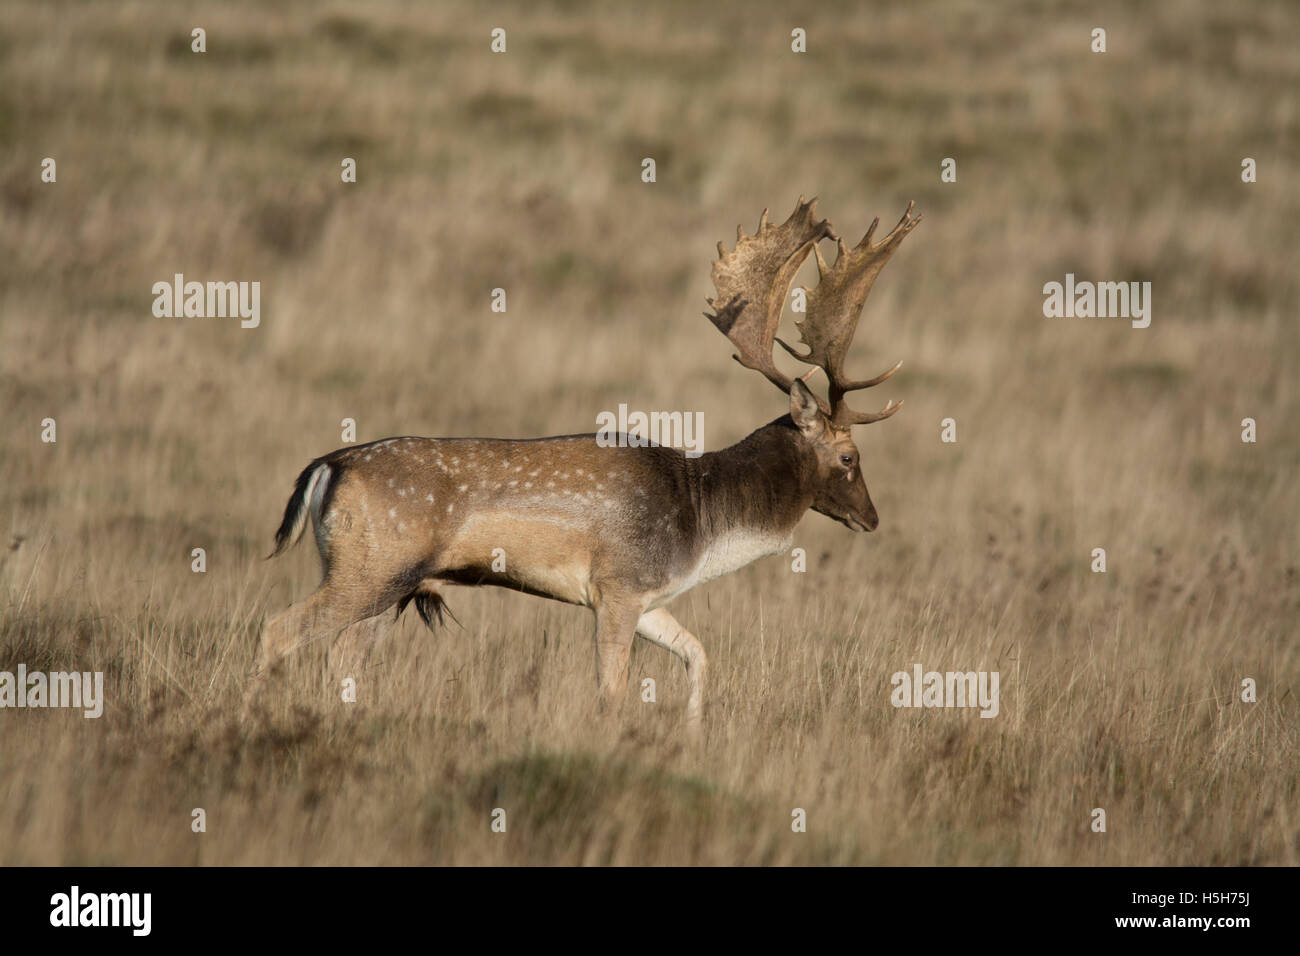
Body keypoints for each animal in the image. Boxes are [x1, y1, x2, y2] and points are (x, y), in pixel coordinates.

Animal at [250, 196, 925, 733]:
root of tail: (327, 466)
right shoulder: (617, 586)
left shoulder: (649, 596)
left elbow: (699, 654)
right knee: (279, 630)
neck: (702, 522)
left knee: (343, 658)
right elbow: (612, 693)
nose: (873, 518)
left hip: (392, 587)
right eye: (849, 456)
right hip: (370, 568)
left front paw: (693, 734)